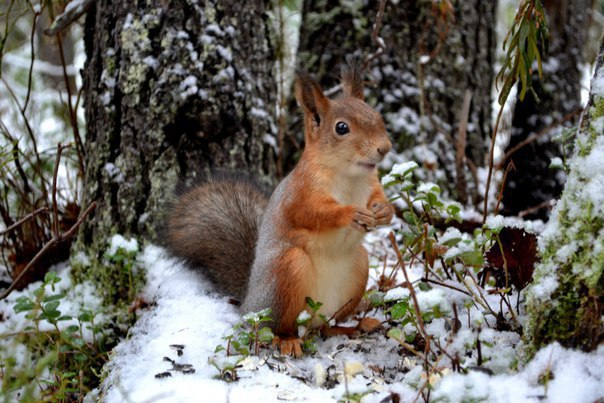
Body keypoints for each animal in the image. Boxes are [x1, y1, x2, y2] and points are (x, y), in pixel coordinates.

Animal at [166, 63, 392, 356]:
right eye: (341, 128)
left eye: (377, 115)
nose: (385, 148)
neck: (349, 176)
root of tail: (249, 302)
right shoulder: (299, 195)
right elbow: (313, 214)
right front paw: (349, 213)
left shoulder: (371, 184)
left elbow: (378, 197)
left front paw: (385, 210)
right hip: (286, 270)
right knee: (276, 326)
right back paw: (286, 340)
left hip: (357, 268)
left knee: (326, 327)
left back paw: (354, 326)